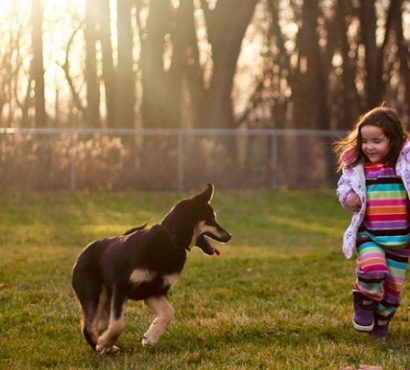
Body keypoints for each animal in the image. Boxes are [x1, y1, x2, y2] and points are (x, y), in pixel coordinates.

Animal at [71, 184, 231, 354]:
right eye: (211, 219)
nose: (230, 236)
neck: (171, 240)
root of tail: (83, 253)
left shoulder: (153, 291)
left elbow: (169, 312)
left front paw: (151, 337)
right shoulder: (121, 287)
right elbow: (118, 324)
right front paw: (104, 343)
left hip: (107, 299)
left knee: (99, 325)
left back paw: (107, 346)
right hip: (95, 294)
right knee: (89, 327)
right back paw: (101, 346)